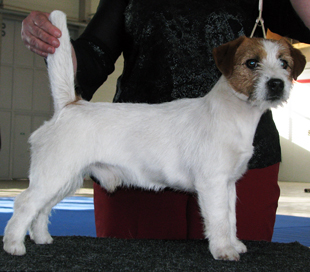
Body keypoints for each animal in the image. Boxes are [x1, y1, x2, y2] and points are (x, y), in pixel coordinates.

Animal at [3, 10, 306, 260]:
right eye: (252, 63)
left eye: (284, 63)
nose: (276, 84)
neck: (233, 114)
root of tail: (69, 104)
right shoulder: (212, 183)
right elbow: (219, 219)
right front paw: (223, 250)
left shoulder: (228, 184)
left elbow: (230, 218)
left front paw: (234, 244)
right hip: (54, 173)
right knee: (25, 203)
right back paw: (13, 245)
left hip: (66, 178)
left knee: (41, 208)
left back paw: (42, 238)